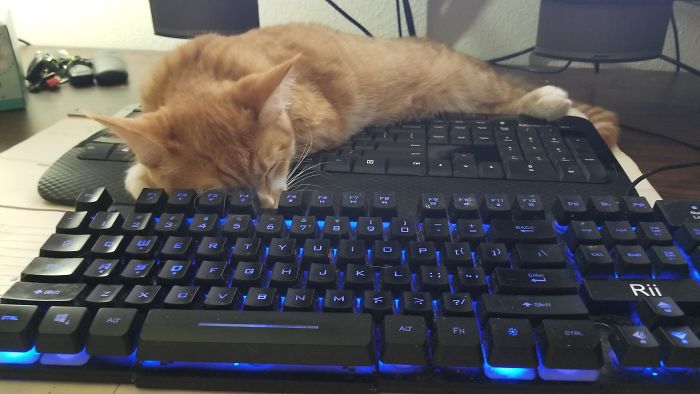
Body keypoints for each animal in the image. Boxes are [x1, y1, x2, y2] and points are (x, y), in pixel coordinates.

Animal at [91, 23, 616, 209]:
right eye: (227, 196)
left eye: (271, 165)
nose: (270, 208)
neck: (198, 72)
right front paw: (142, 173)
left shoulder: (317, 117)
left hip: (467, 82)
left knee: (512, 96)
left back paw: (550, 99)